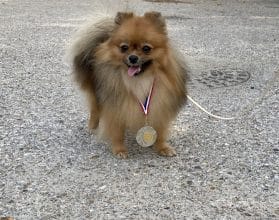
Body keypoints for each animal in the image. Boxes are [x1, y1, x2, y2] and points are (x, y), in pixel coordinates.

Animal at [68, 11, 189, 158]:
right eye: (124, 48)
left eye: (146, 48)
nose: (133, 58)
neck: (139, 80)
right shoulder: (115, 107)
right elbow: (117, 132)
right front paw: (119, 149)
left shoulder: (160, 104)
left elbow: (160, 131)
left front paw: (163, 147)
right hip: (95, 92)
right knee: (95, 109)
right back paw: (92, 126)